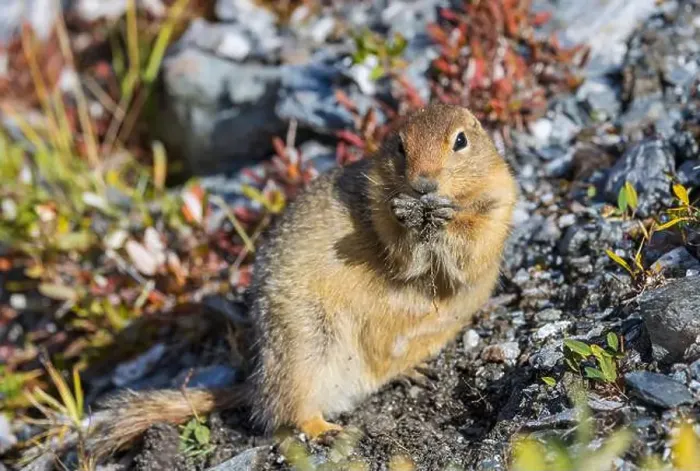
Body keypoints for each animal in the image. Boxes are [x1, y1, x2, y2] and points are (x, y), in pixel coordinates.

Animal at [88, 103, 518, 459]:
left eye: (460, 141)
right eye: (399, 146)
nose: (423, 184)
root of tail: (255, 382)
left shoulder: (498, 203)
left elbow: (471, 250)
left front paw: (446, 217)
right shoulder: (379, 207)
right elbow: (401, 255)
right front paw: (410, 219)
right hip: (305, 345)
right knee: (286, 411)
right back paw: (326, 430)